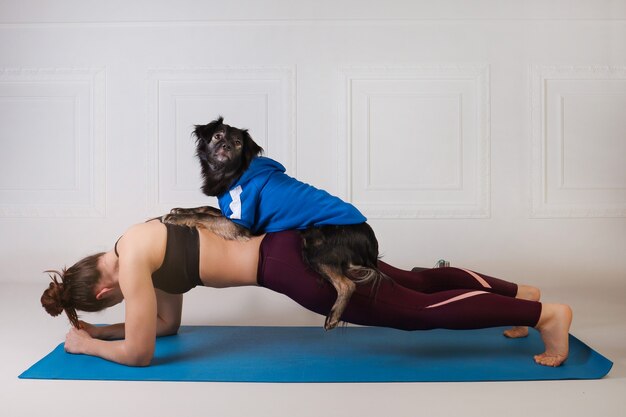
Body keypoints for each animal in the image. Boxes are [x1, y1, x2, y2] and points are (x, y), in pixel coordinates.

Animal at [163, 116, 382, 328]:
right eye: (217, 136)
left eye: (238, 143)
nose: (226, 146)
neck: (234, 174)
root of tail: (371, 242)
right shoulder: (230, 214)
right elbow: (206, 209)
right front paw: (182, 210)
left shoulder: (240, 224)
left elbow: (206, 216)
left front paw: (178, 218)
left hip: (314, 244)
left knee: (348, 284)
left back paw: (333, 316)